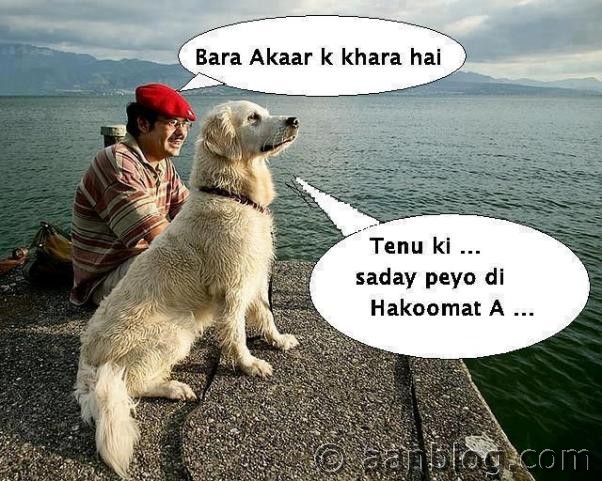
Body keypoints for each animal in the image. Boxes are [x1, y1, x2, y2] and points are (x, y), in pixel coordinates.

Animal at [74, 100, 300, 478]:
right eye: (253, 118)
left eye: (265, 112)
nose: (294, 120)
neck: (232, 193)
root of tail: (87, 362)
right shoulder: (233, 287)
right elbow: (236, 334)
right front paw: (249, 364)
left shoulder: (254, 275)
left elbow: (267, 316)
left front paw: (278, 341)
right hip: (175, 329)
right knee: (131, 383)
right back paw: (175, 388)